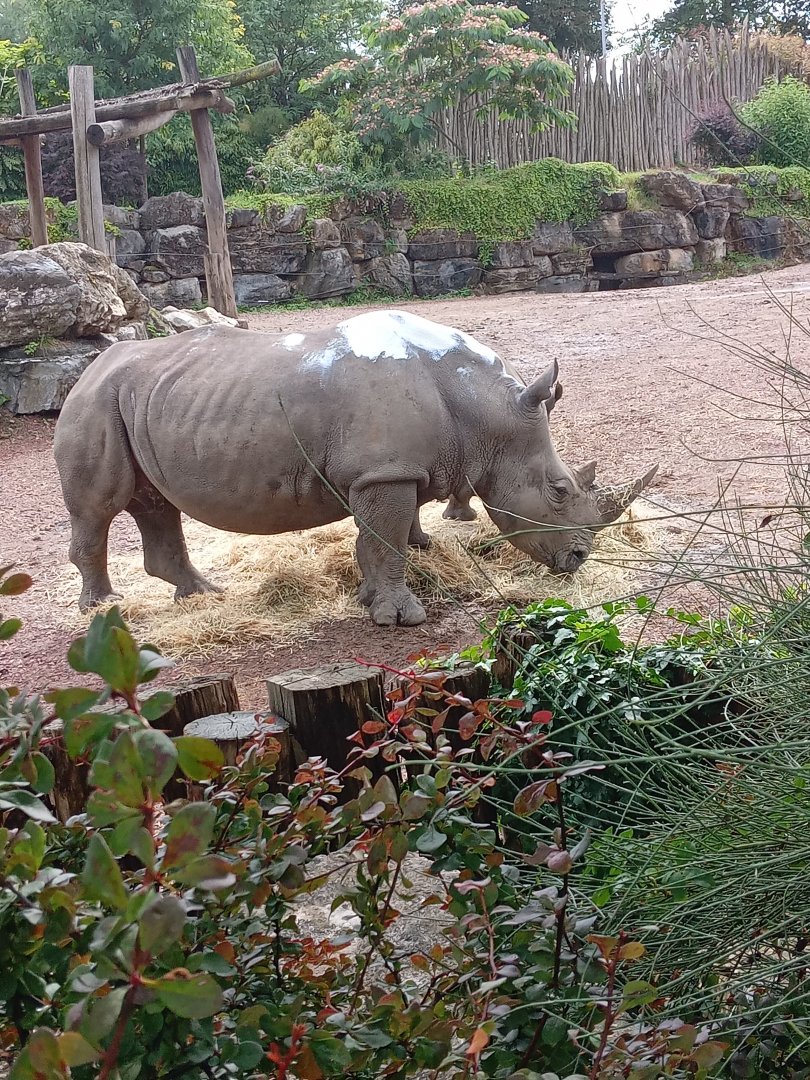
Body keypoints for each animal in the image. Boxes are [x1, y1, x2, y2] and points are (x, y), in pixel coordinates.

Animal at [53, 309, 657, 627]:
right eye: (558, 490)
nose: (577, 560)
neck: (486, 411)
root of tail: (88, 367)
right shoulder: (386, 471)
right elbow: (386, 541)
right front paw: (402, 619)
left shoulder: (390, 471)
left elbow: (379, 539)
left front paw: (371, 600)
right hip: (94, 402)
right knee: (100, 507)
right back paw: (103, 608)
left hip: (142, 397)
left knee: (155, 501)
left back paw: (203, 596)